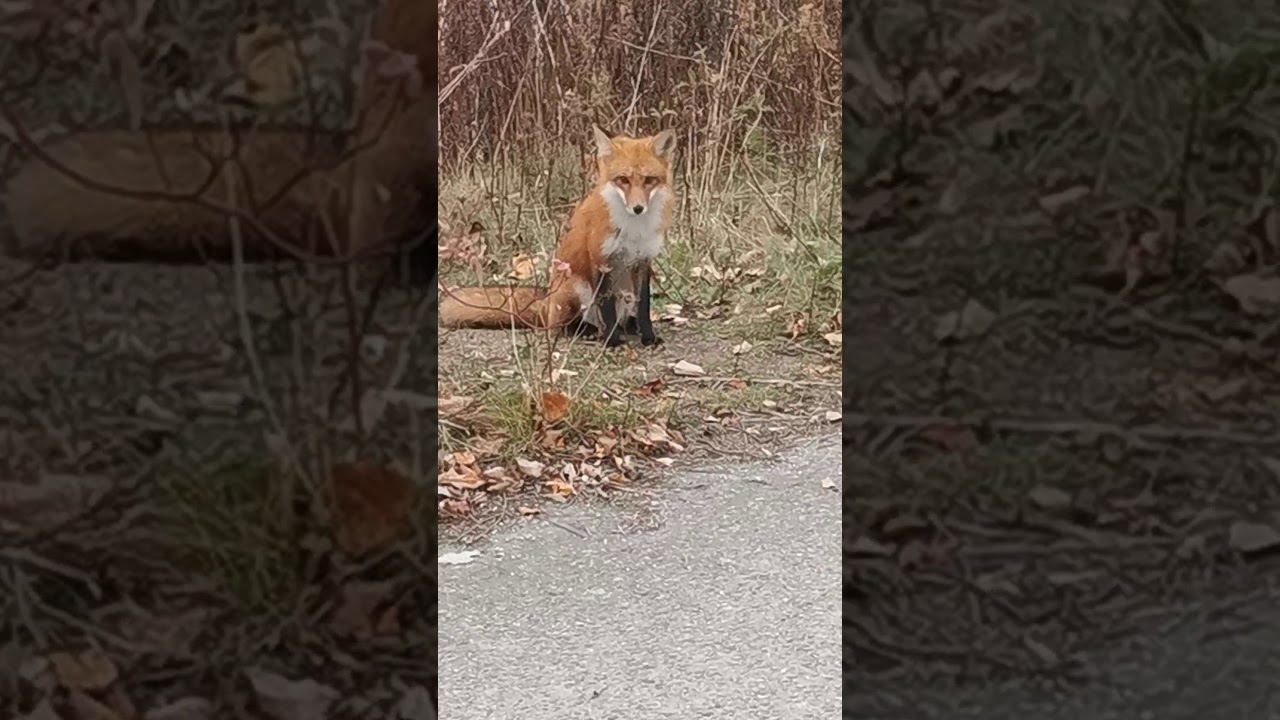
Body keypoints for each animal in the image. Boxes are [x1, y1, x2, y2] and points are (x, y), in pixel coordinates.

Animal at [440, 125, 677, 348]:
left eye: (649, 180)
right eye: (623, 180)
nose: (638, 208)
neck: (633, 229)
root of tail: (547, 302)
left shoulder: (643, 260)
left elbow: (644, 305)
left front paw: (648, 337)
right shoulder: (601, 260)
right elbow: (606, 307)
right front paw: (612, 342)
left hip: (624, 290)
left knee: (623, 316)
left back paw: (627, 326)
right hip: (576, 285)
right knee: (564, 326)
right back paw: (589, 331)